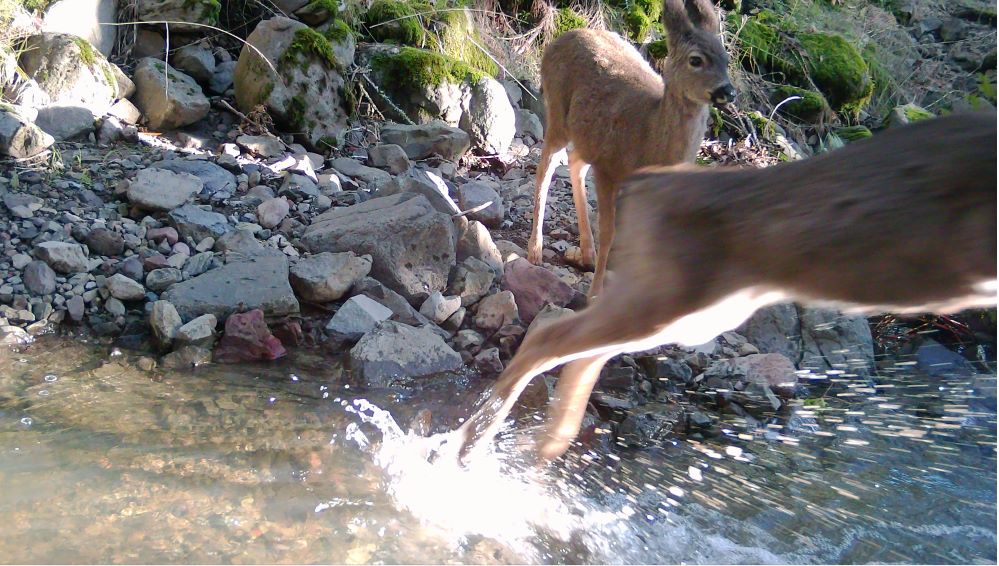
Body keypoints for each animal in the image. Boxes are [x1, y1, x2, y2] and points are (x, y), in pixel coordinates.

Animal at [452, 111, 997, 464]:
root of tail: (647, 184)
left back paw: (539, 447)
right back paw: (470, 446)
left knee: (583, 351)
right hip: (674, 296)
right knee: (553, 339)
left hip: (693, 308)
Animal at [527, 0, 736, 301]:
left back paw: (587, 253)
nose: (728, 91)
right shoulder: (608, 169)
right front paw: (595, 294)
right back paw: (535, 249)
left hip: (589, 137)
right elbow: (610, 233)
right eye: (696, 60)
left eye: (726, 60)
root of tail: (561, 37)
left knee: (574, 161)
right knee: (546, 167)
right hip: (557, 111)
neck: (649, 139)